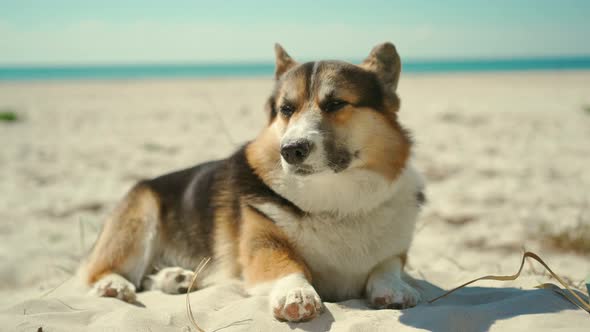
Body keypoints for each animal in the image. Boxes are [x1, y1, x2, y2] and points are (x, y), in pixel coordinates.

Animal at [82, 41, 426, 322]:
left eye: (335, 104)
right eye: (286, 109)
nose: (291, 150)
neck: (333, 199)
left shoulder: (394, 252)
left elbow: (387, 266)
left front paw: (395, 288)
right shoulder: (262, 243)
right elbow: (288, 265)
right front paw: (296, 294)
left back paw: (175, 278)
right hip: (142, 215)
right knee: (103, 271)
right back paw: (114, 284)